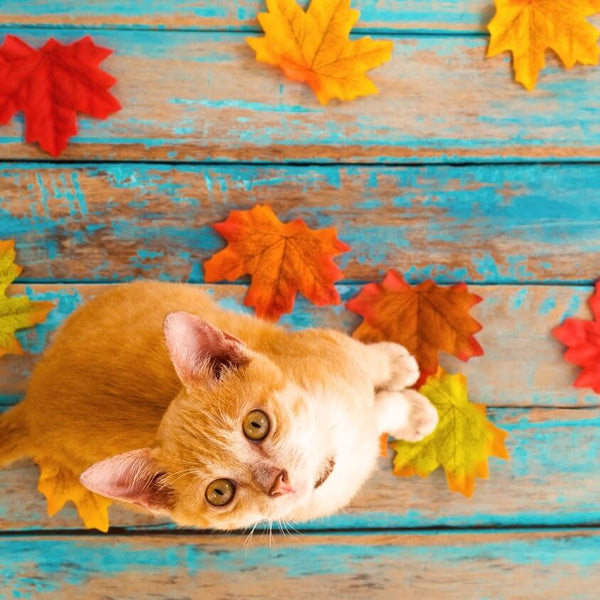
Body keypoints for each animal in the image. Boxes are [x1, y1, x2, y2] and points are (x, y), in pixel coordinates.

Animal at [0, 282, 436, 528]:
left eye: (255, 424)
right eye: (219, 493)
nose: (277, 483)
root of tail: (32, 403)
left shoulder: (329, 345)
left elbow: (368, 362)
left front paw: (395, 365)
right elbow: (379, 410)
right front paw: (411, 412)